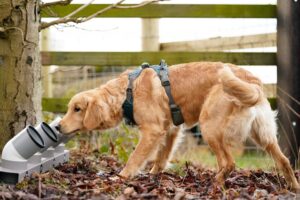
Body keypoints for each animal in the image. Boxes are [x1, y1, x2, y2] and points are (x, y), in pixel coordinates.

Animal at [57, 61, 298, 190]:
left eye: (76, 109)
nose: (58, 127)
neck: (127, 92)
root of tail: (251, 81)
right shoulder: (171, 130)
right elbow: (160, 159)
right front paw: (153, 176)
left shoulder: (152, 131)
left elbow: (135, 158)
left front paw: (121, 177)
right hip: (263, 135)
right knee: (284, 160)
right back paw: (294, 187)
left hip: (209, 127)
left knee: (228, 163)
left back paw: (215, 184)